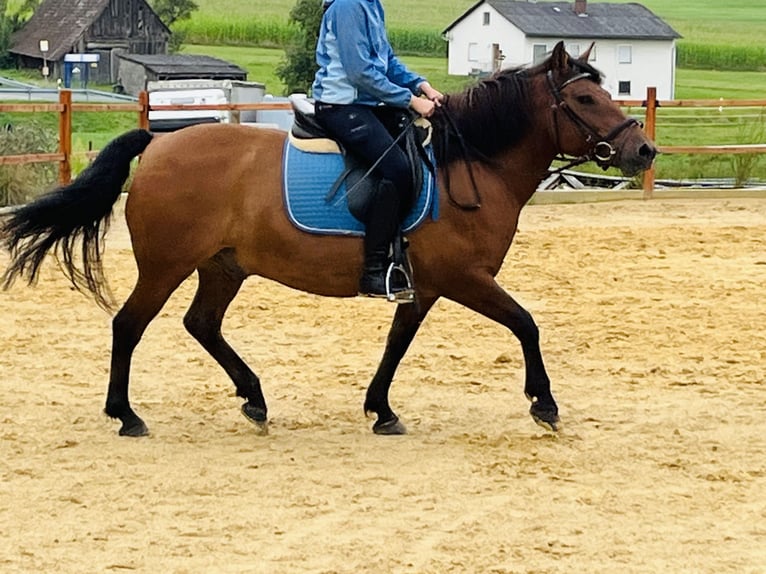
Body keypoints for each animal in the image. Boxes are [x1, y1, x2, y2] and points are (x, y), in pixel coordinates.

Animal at [1, 44, 660, 436]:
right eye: (584, 98)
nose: (644, 149)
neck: (468, 164)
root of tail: (159, 142)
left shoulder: (423, 287)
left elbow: (397, 344)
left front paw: (381, 409)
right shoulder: (465, 279)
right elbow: (526, 324)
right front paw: (543, 404)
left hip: (223, 266)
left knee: (202, 325)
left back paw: (254, 400)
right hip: (167, 265)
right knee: (129, 326)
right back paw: (126, 414)